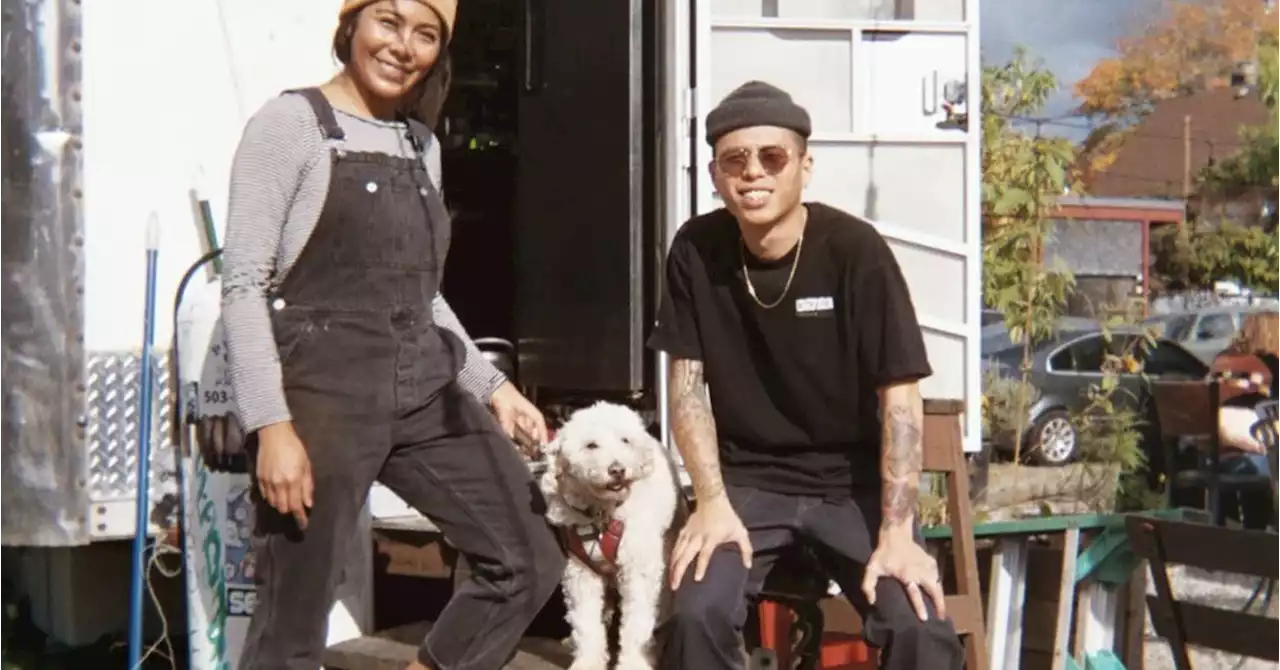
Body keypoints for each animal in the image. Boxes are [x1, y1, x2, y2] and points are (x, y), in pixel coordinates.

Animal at [535, 404, 686, 670]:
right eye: (591, 445)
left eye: (625, 440)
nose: (617, 470)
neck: (603, 514)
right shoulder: (581, 572)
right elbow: (585, 621)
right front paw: (587, 661)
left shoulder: (638, 571)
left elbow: (637, 622)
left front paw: (635, 663)